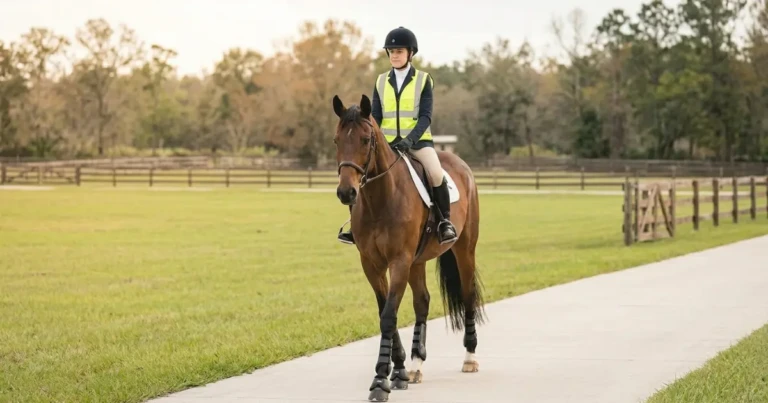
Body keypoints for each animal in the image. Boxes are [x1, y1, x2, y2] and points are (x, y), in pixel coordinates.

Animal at [332, 93, 487, 402]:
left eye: (366, 139)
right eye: (336, 140)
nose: (346, 192)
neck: (381, 199)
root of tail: (458, 162)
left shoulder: (399, 261)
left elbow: (389, 316)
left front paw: (380, 380)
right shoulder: (372, 264)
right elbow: (385, 312)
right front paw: (400, 370)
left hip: (464, 249)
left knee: (467, 295)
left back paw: (470, 357)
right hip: (418, 261)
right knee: (422, 301)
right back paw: (415, 365)